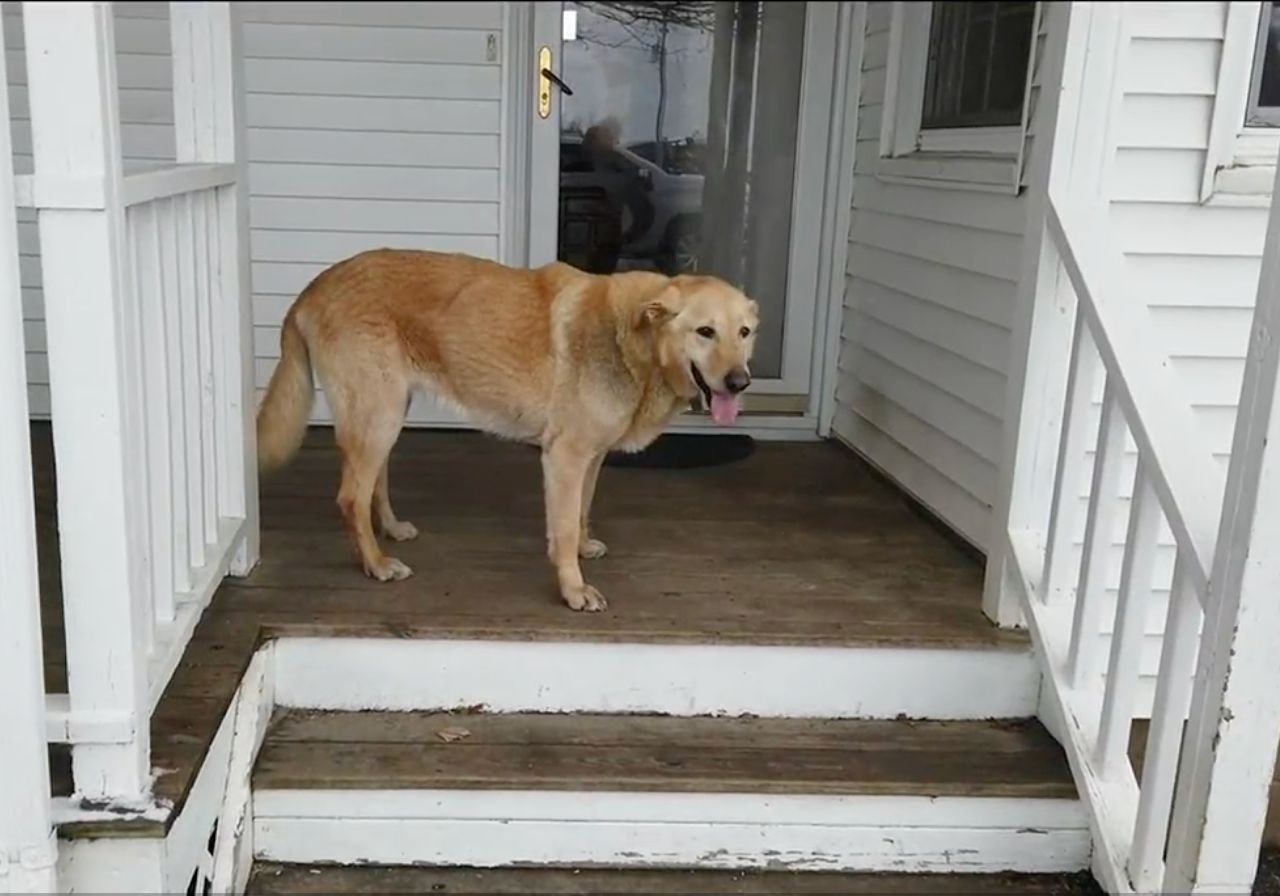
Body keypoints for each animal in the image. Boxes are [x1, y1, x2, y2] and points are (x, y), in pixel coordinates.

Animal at [257, 248, 757, 611]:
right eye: (705, 332)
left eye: (745, 332)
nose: (741, 383)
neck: (635, 342)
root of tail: (313, 286)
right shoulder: (565, 457)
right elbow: (564, 527)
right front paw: (573, 589)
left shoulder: (590, 457)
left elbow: (580, 512)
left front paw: (580, 551)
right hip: (378, 414)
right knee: (350, 497)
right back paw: (376, 564)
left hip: (388, 413)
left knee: (372, 483)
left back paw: (391, 530)